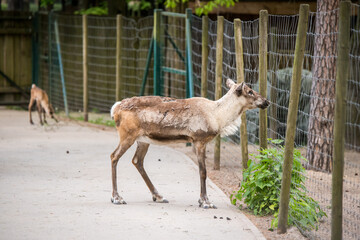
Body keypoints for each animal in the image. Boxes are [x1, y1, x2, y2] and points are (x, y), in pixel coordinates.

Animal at [109, 78, 270, 208]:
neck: (217, 117)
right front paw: (206, 202)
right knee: (114, 156)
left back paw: (159, 196)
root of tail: (115, 108)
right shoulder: (199, 140)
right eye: (250, 91)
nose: (266, 101)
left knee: (137, 161)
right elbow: (203, 172)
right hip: (128, 135)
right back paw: (117, 198)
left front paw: (202, 200)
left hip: (143, 140)